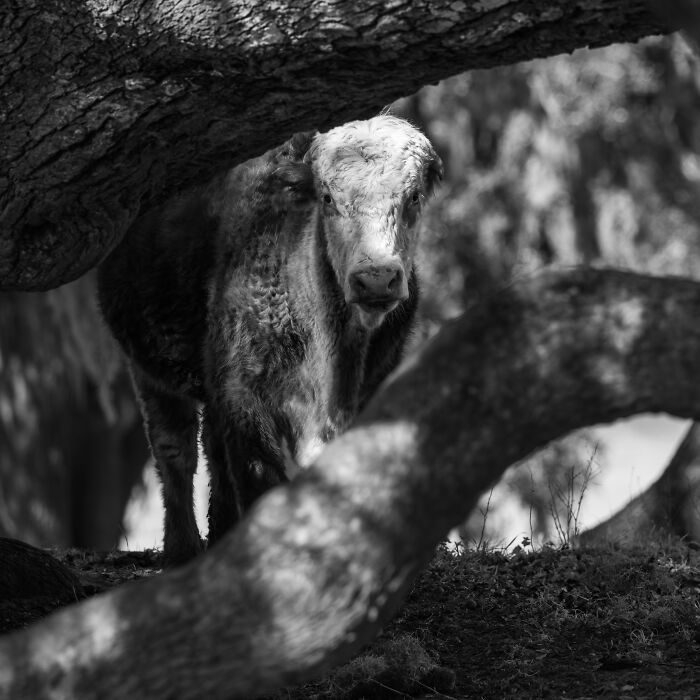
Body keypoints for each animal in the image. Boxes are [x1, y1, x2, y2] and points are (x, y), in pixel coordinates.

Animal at [97, 115, 443, 566]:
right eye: (328, 198)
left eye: (413, 196)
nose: (375, 278)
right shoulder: (246, 398)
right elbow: (260, 481)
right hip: (150, 373)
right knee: (175, 450)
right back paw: (183, 549)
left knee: (211, 451)